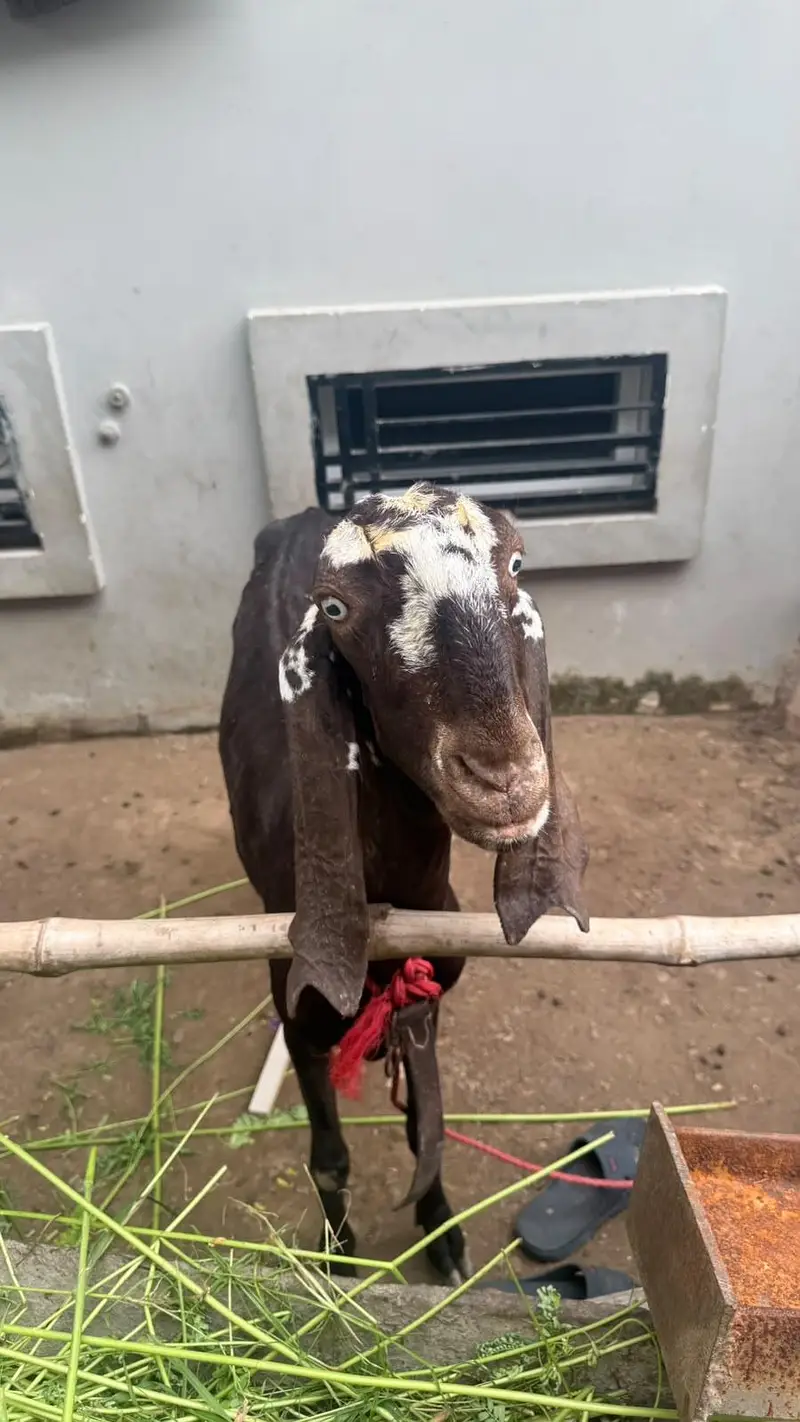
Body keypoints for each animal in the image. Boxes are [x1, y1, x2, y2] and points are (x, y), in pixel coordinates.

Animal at [219, 482, 589, 1284]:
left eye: (517, 563)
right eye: (333, 608)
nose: (503, 779)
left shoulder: (428, 1002)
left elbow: (427, 1129)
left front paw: (442, 1236)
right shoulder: (302, 1009)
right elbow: (328, 1159)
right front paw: (337, 1259)